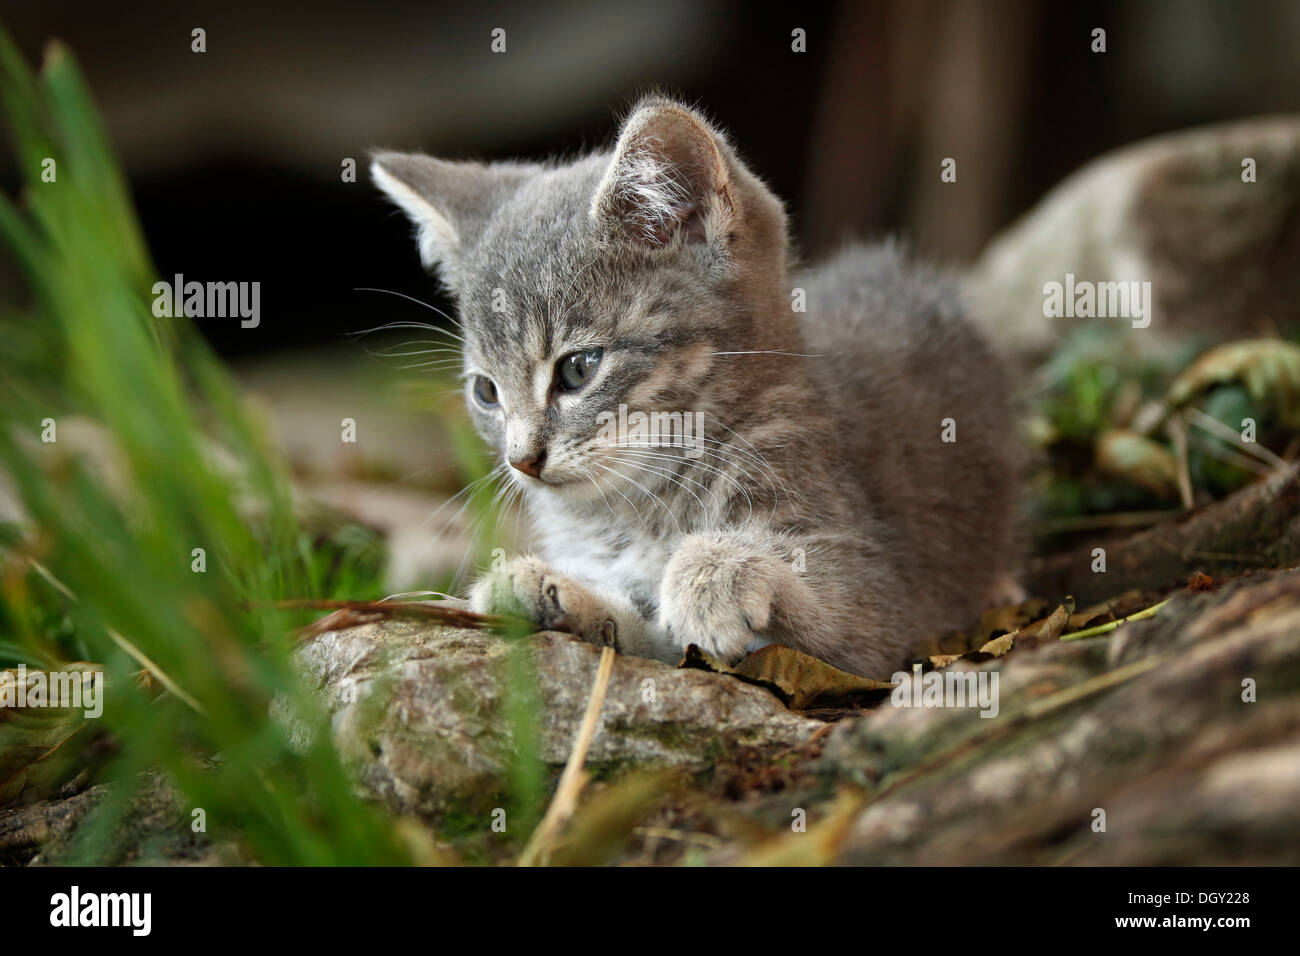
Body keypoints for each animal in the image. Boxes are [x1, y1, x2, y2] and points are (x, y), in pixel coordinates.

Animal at [371, 95, 1019, 681]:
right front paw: (550, 591)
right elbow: (645, 634)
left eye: (578, 368)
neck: (640, 508)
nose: (521, 460)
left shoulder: (882, 591)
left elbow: (837, 615)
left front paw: (715, 572)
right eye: (486, 392)